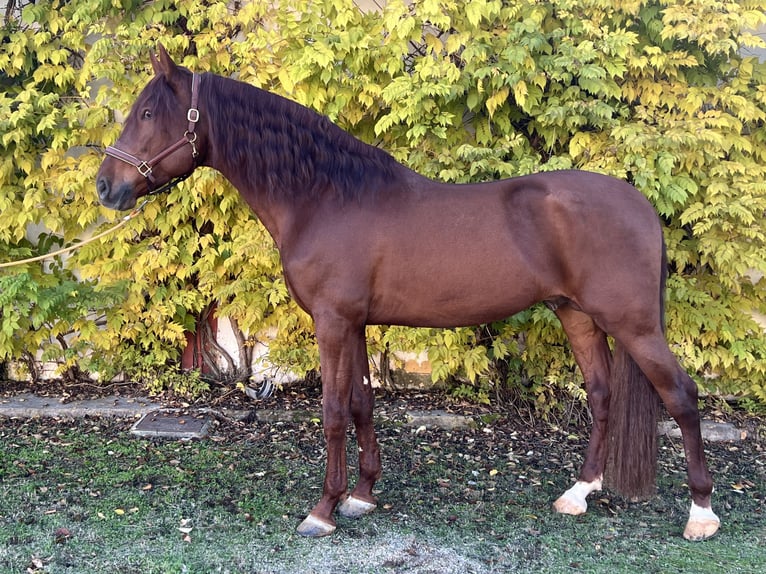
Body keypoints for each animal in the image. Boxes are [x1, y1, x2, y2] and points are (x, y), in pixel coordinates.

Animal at [96, 46, 720, 544]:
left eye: (148, 113)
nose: (106, 187)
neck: (326, 196)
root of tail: (642, 205)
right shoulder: (355, 323)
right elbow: (362, 403)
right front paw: (362, 496)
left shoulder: (332, 321)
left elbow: (332, 411)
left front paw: (322, 510)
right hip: (578, 316)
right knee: (602, 394)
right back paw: (578, 494)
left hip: (633, 323)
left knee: (682, 396)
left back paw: (701, 514)